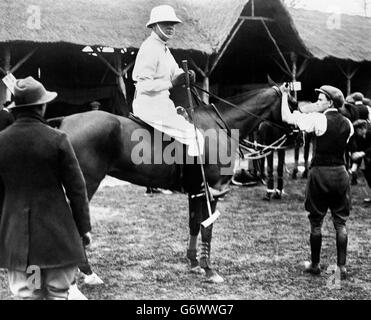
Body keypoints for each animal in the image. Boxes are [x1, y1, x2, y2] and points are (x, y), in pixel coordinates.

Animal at [56, 85, 294, 282]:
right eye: (293, 103)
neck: (220, 125)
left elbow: (194, 225)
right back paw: (88, 272)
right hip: (85, 185)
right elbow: (207, 228)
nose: (298, 136)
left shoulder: (196, 191)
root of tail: (64, 123)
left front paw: (194, 262)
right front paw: (209, 269)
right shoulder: (213, 190)